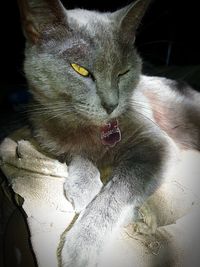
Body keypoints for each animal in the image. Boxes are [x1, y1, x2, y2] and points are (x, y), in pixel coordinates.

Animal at [17, 0, 200, 267]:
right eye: (80, 70)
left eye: (123, 72)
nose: (111, 104)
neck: (93, 130)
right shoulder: (46, 135)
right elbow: (74, 153)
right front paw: (83, 188)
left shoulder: (157, 144)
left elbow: (118, 191)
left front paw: (82, 246)